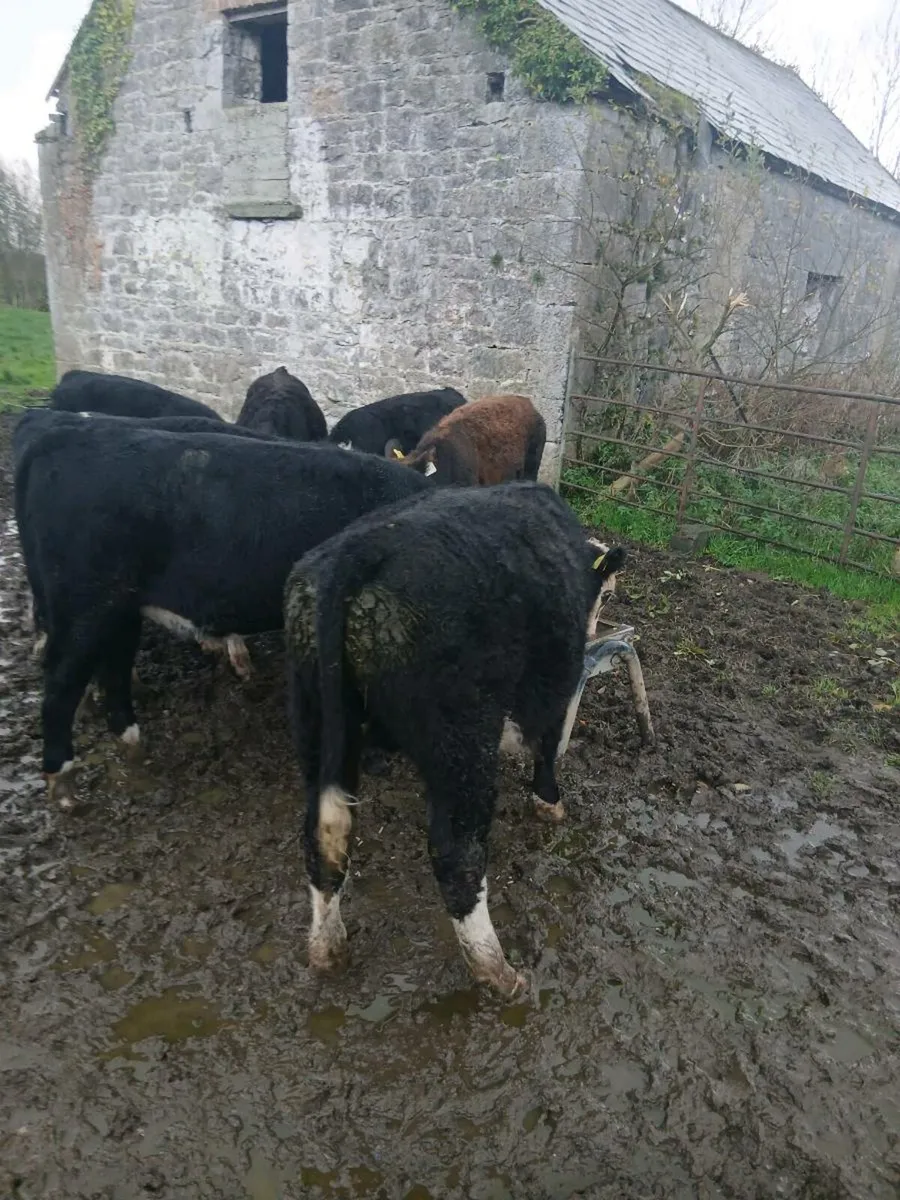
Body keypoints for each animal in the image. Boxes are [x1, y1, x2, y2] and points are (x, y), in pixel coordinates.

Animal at [14, 419, 433, 809]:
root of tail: (65, 435)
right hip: (85, 610)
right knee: (61, 686)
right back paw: (64, 783)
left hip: (119, 611)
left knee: (113, 671)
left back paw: (133, 745)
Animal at [282, 482, 626, 999]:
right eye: (605, 596)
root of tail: (358, 549)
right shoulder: (553, 678)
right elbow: (545, 745)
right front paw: (549, 802)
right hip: (461, 740)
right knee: (456, 855)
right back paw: (497, 970)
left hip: (317, 722)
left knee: (325, 834)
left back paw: (327, 948)